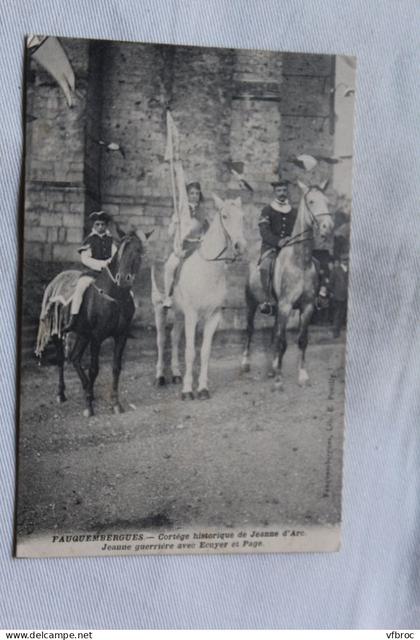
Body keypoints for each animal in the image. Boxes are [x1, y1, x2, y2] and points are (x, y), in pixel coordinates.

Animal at [36, 228, 148, 418]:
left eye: (138, 251)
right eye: (121, 253)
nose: (123, 279)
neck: (116, 296)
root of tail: (56, 280)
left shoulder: (121, 336)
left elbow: (116, 367)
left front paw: (115, 403)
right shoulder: (97, 337)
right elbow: (94, 369)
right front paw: (88, 406)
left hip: (82, 334)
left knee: (74, 358)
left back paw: (88, 389)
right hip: (59, 333)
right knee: (61, 360)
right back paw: (62, 393)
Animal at [152, 192, 246, 398]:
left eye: (242, 217)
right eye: (225, 216)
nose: (240, 247)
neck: (208, 270)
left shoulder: (213, 316)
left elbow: (205, 352)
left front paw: (203, 388)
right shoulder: (192, 315)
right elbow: (190, 352)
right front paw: (188, 390)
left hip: (179, 313)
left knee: (174, 337)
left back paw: (176, 374)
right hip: (160, 309)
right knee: (161, 340)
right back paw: (160, 376)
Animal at [241, 180, 334, 390]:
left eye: (327, 201)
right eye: (311, 201)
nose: (328, 227)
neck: (300, 262)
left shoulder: (307, 307)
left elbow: (301, 340)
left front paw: (302, 376)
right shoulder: (285, 306)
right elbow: (283, 342)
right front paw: (278, 380)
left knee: (274, 333)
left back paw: (272, 367)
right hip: (251, 303)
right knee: (250, 330)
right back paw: (246, 364)